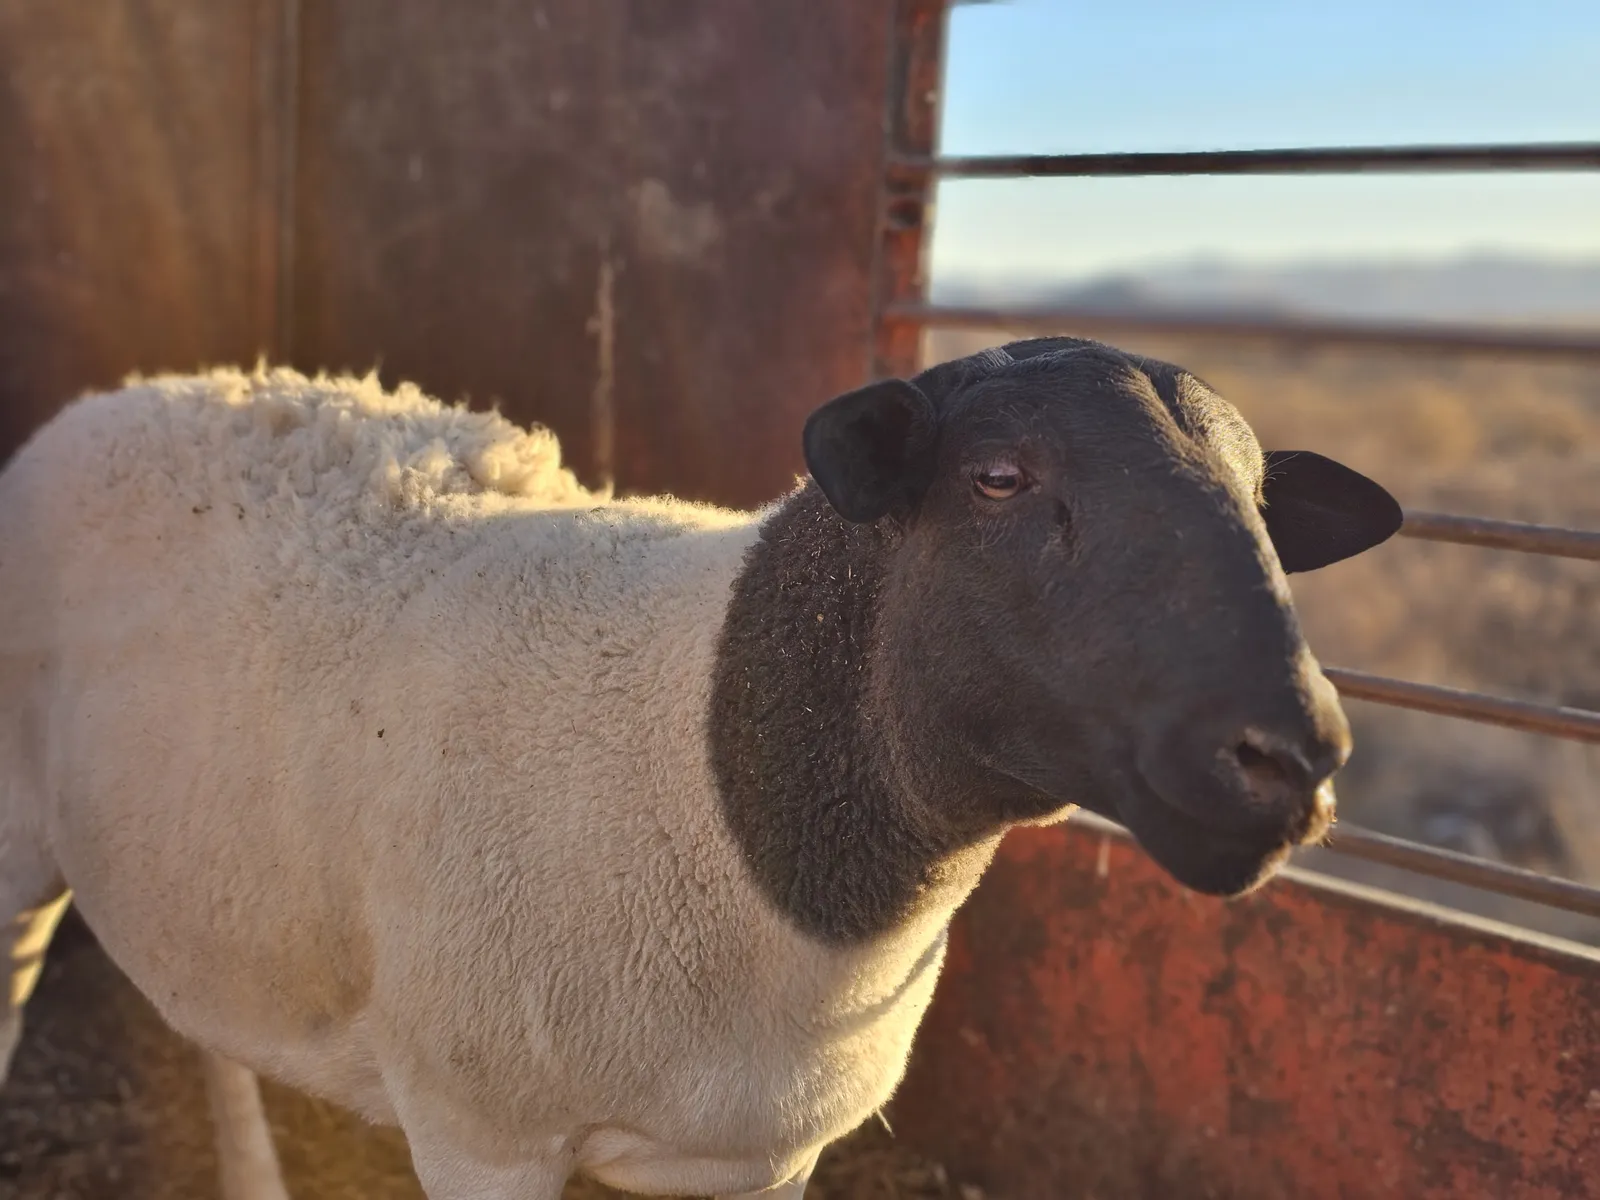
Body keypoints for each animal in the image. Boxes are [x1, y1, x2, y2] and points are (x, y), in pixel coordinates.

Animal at [0, 339, 1402, 1198]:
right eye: (999, 478)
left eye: (1263, 505)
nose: (1292, 759)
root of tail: (138, 390)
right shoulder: (482, 1134)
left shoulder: (760, 1161)